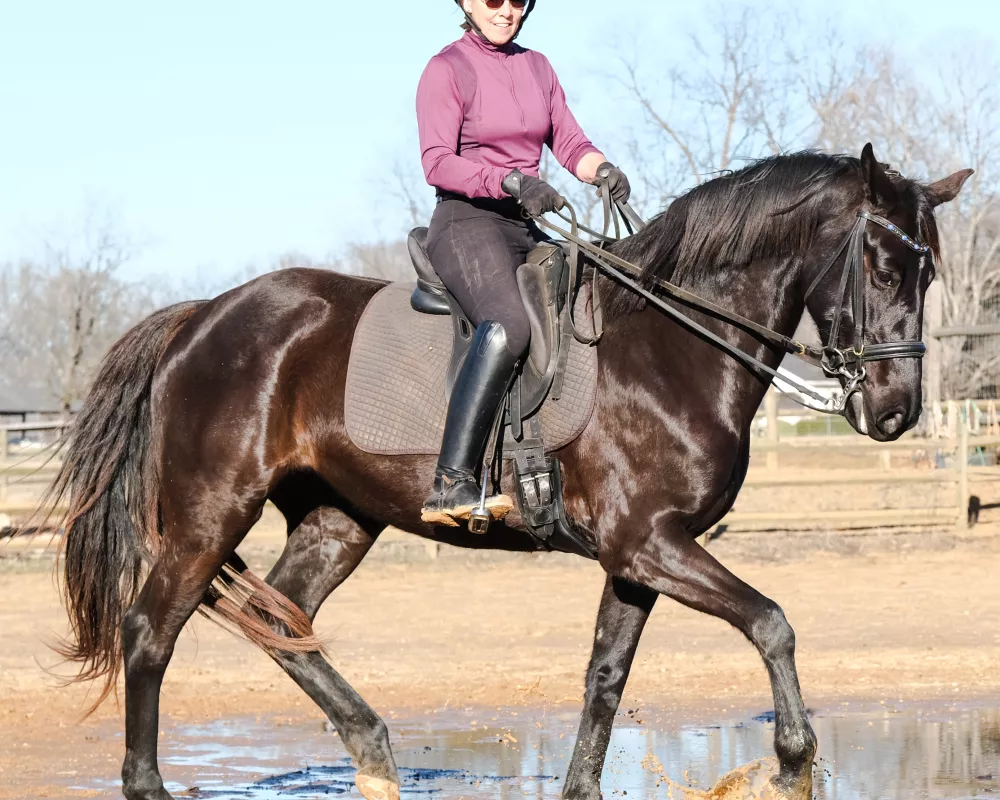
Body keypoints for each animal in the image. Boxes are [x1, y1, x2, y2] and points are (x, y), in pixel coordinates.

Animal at [45, 147, 968, 796]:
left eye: (929, 271)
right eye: (884, 266)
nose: (894, 411)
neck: (671, 343)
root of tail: (202, 315)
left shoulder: (636, 556)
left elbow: (604, 680)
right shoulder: (649, 543)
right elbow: (773, 622)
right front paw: (792, 764)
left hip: (339, 518)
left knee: (284, 621)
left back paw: (376, 755)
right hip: (208, 513)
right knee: (150, 632)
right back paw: (151, 784)